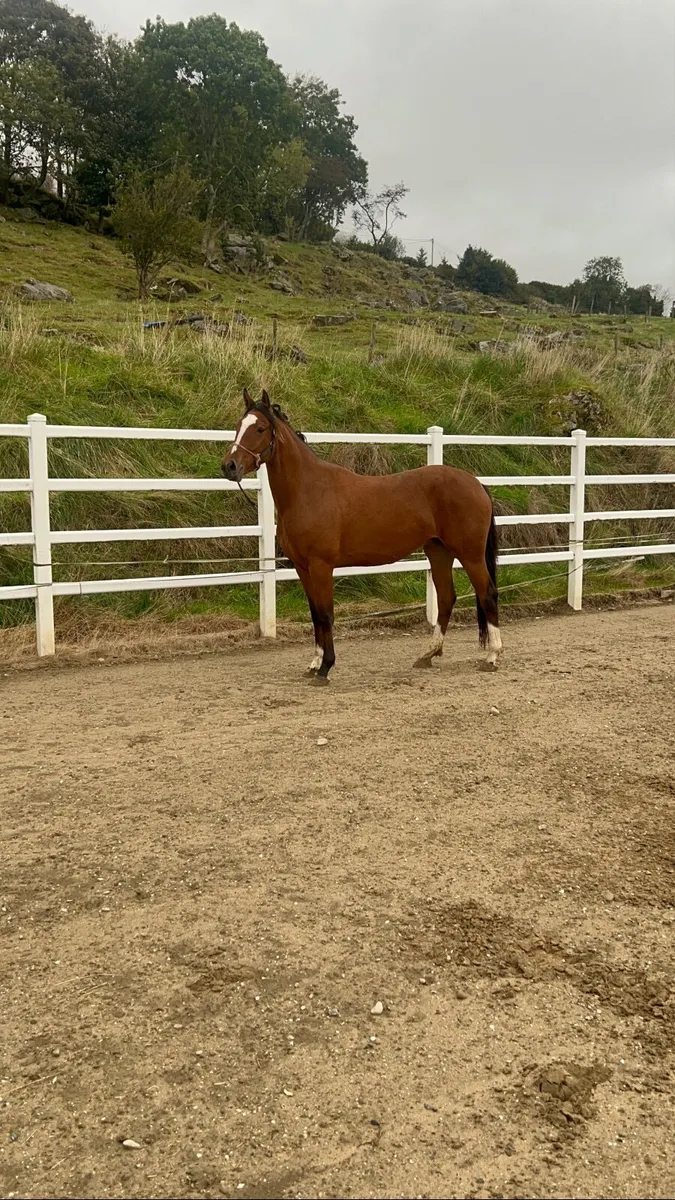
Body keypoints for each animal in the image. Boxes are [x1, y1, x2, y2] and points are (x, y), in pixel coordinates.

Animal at [222, 389, 502, 683]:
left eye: (260, 428)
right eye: (238, 426)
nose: (229, 466)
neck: (307, 491)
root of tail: (476, 483)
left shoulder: (321, 566)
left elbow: (326, 614)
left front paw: (326, 667)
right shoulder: (302, 567)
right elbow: (314, 614)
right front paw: (314, 663)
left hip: (470, 555)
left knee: (487, 594)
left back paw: (492, 656)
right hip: (438, 552)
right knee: (447, 598)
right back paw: (427, 655)